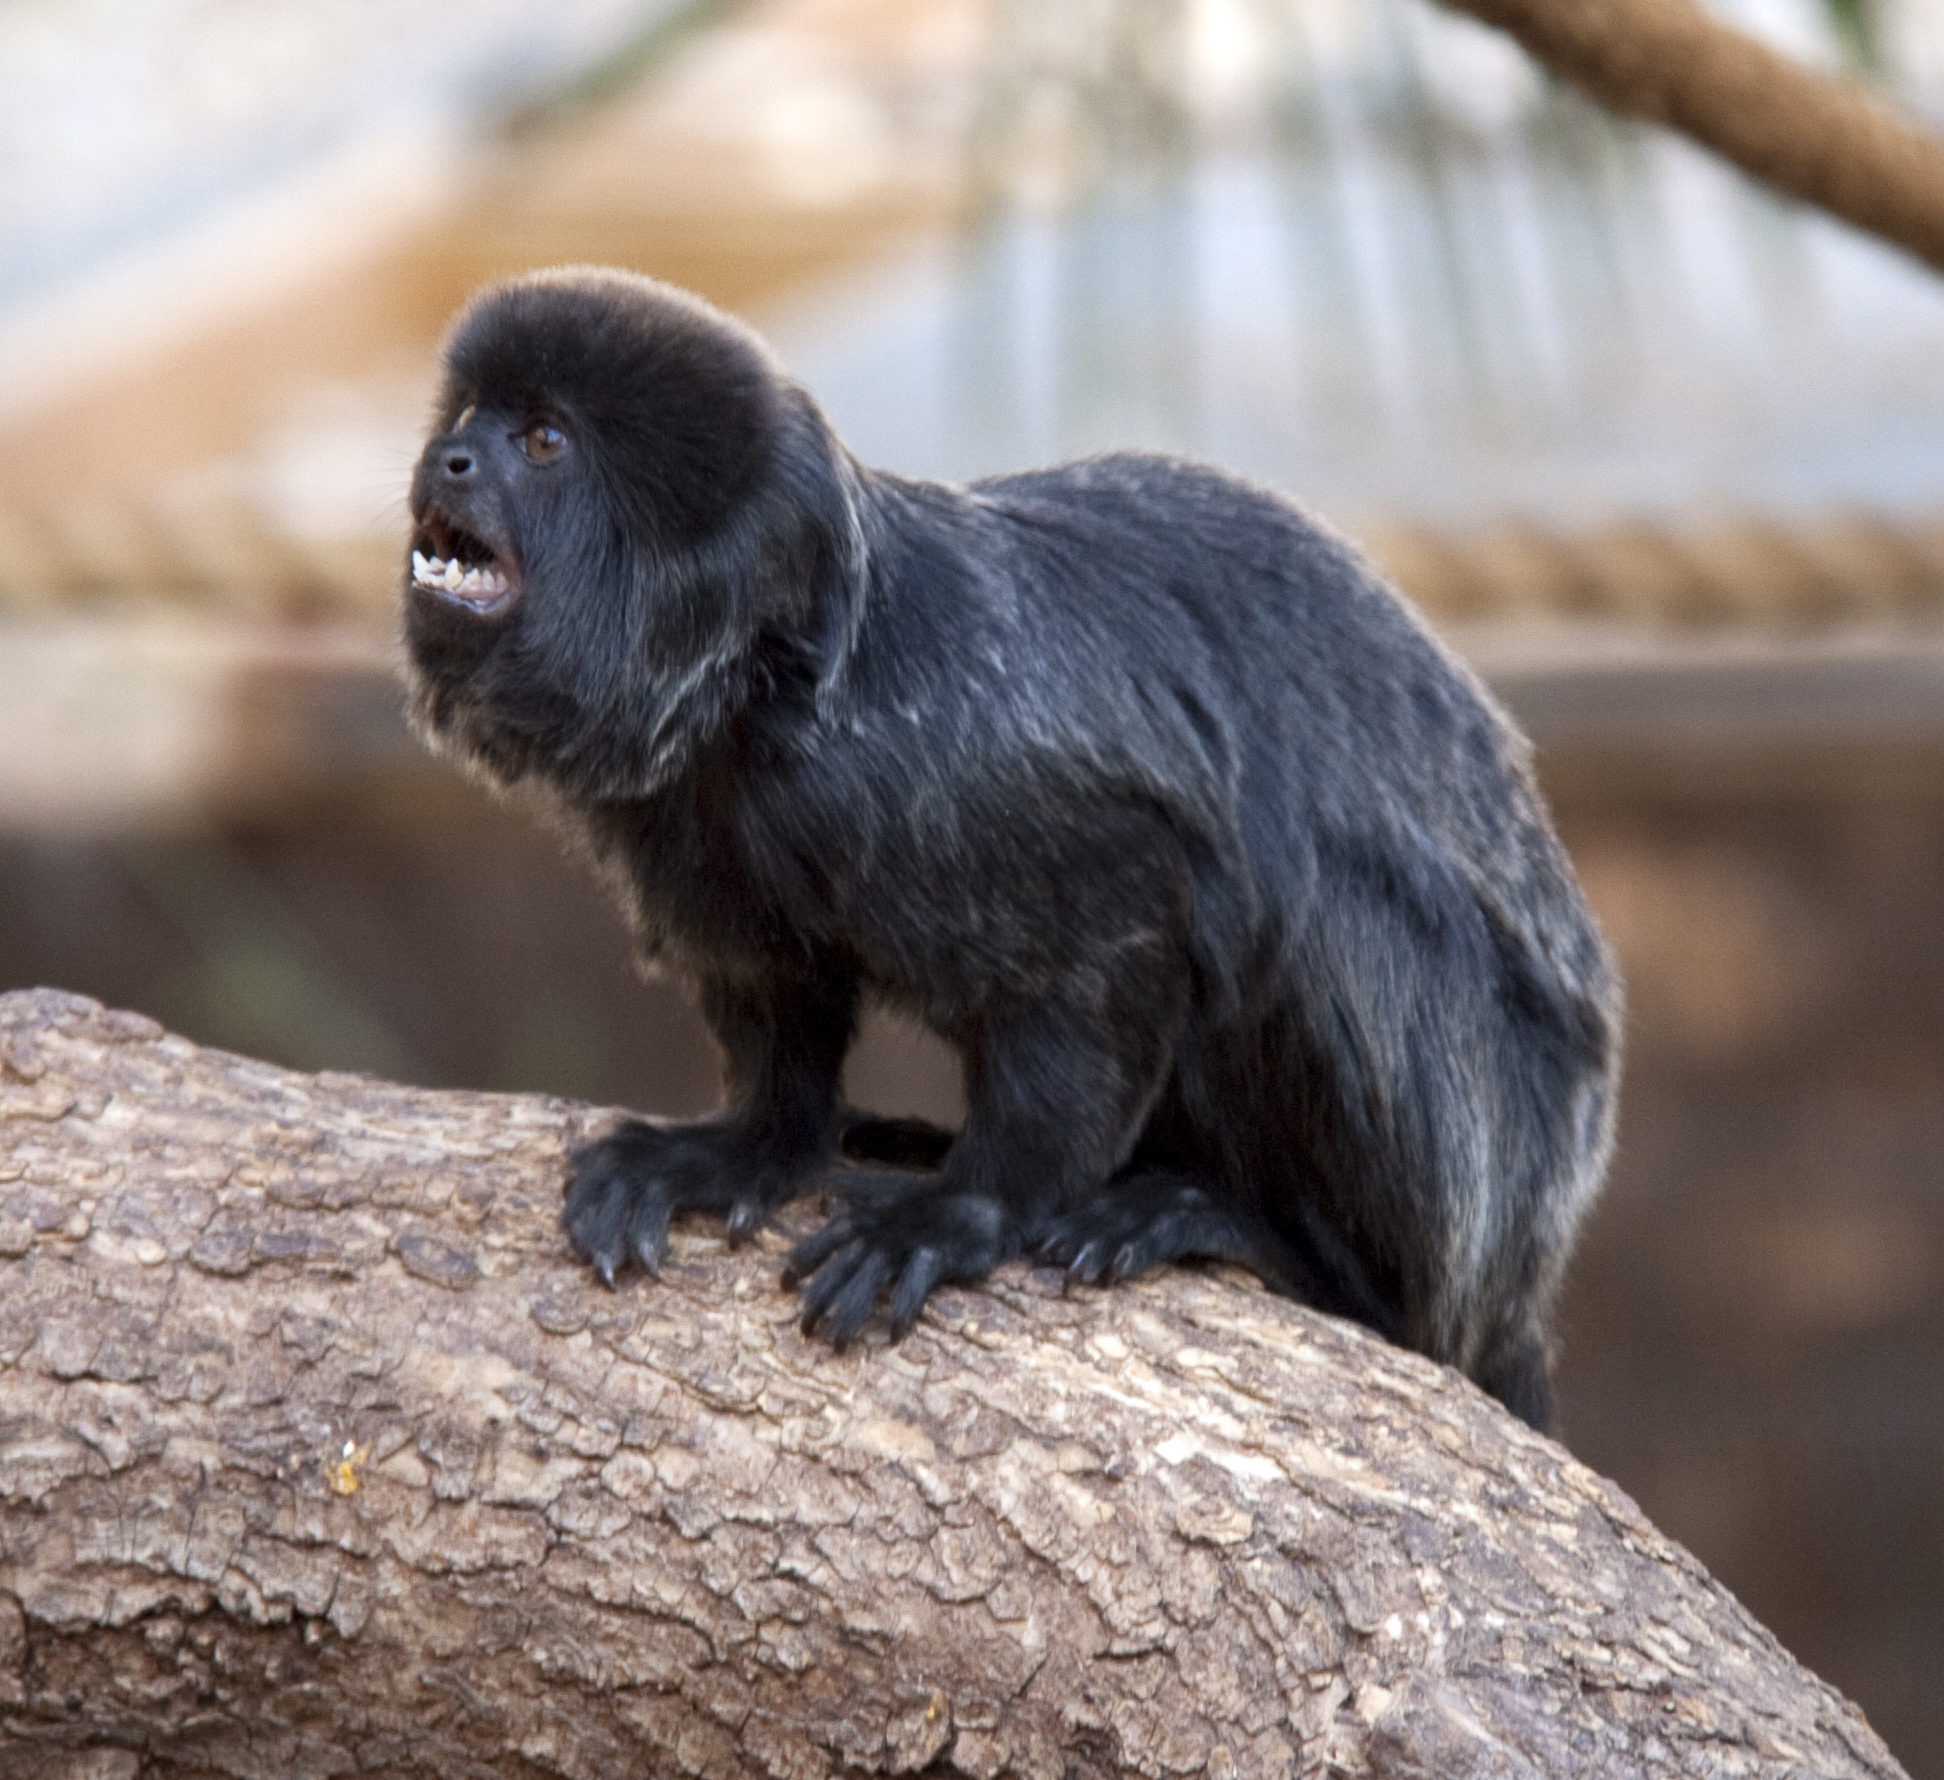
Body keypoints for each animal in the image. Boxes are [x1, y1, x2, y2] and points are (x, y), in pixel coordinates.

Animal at [402, 268, 1617, 1430]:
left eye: (542, 442)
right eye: (470, 419)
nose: (449, 460)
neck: (759, 696)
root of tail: (1524, 1279)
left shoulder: (966, 776)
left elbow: (1114, 959)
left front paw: (959, 1212)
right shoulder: (691, 824)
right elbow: (776, 993)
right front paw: (747, 1146)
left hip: (1474, 1183)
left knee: (1311, 923)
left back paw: (1241, 1228)